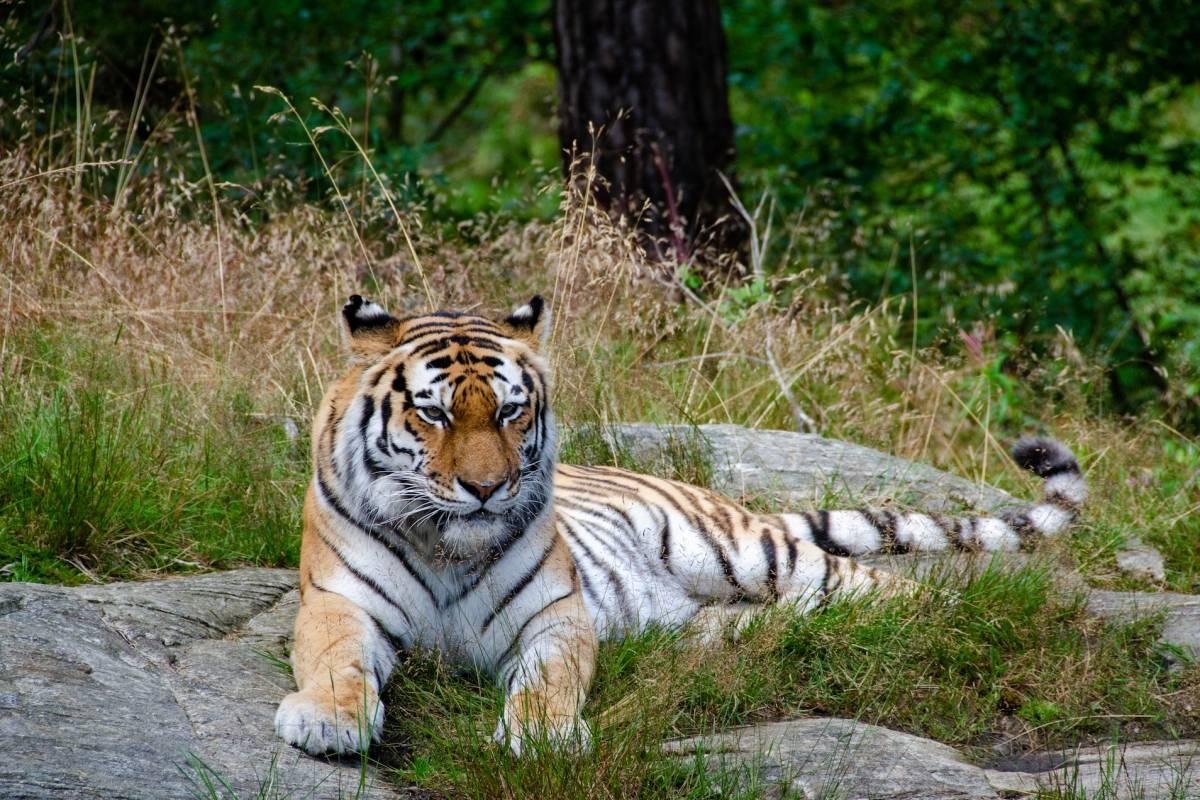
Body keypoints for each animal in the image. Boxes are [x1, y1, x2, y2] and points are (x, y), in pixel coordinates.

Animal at [272, 293, 1089, 758]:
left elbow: (548, 680)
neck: (448, 546)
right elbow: (337, 663)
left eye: (509, 412)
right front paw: (329, 722)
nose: (485, 489)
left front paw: (542, 735)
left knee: (902, 594)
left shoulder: (553, 616)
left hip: (749, 553)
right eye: (435, 414)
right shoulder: (337, 602)